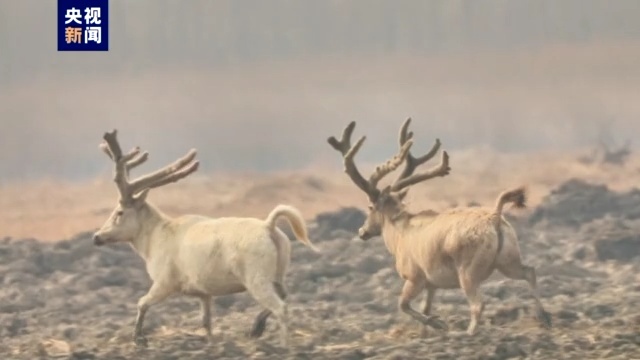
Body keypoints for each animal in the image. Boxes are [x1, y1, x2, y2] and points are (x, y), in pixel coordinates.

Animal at [92, 129, 318, 346]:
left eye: (119, 212)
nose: (97, 237)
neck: (152, 241)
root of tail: (269, 226)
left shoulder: (165, 281)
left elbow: (141, 302)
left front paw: (139, 339)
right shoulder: (204, 292)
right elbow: (206, 322)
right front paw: (210, 342)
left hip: (256, 277)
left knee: (281, 306)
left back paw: (283, 345)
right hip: (278, 272)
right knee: (285, 295)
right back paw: (255, 329)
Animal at [328, 119, 552, 336]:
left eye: (370, 206)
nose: (362, 232)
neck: (400, 232)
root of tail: (495, 217)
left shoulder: (415, 278)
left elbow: (403, 305)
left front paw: (440, 324)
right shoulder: (431, 284)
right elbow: (425, 307)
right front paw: (424, 334)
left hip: (468, 273)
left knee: (478, 304)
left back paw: (467, 333)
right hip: (507, 262)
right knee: (529, 271)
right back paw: (543, 318)